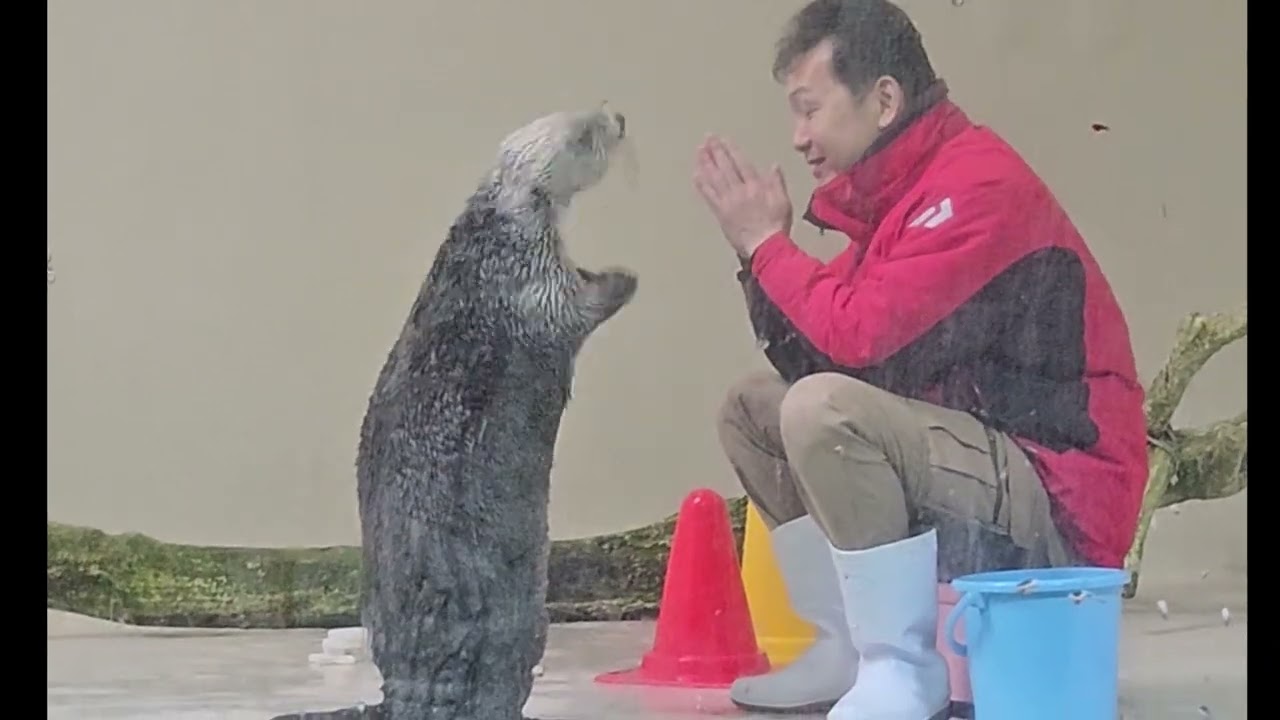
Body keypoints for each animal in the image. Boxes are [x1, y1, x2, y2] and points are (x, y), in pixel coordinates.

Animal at [271, 106, 636, 720]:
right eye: (584, 133)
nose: (619, 118)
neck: (494, 226)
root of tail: (403, 694)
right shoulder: (529, 278)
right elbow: (573, 306)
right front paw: (624, 279)